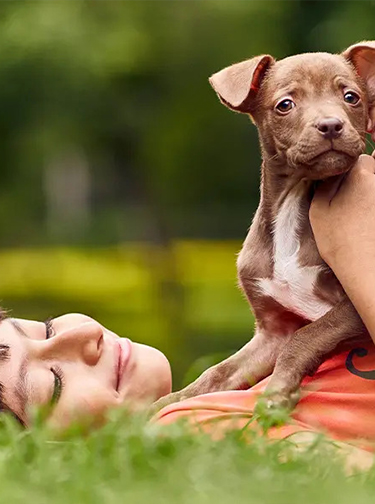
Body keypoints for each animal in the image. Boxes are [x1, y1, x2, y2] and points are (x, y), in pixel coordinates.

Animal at [151, 42, 375, 414]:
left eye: (351, 97)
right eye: (285, 104)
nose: (331, 125)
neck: (292, 206)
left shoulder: (348, 309)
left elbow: (307, 335)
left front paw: (277, 392)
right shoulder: (271, 333)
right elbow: (217, 373)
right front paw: (162, 403)